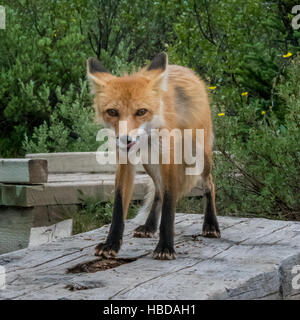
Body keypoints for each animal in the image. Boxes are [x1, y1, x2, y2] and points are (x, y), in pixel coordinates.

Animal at [86, 53, 220, 260]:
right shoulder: (125, 163)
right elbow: (119, 207)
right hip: (149, 163)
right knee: (157, 190)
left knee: (209, 185)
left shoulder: (170, 161)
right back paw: (149, 225)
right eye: (112, 112)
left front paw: (165, 247)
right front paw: (111, 244)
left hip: (199, 156)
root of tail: (186, 70)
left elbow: (169, 207)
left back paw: (211, 224)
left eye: (141, 111)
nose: (125, 139)